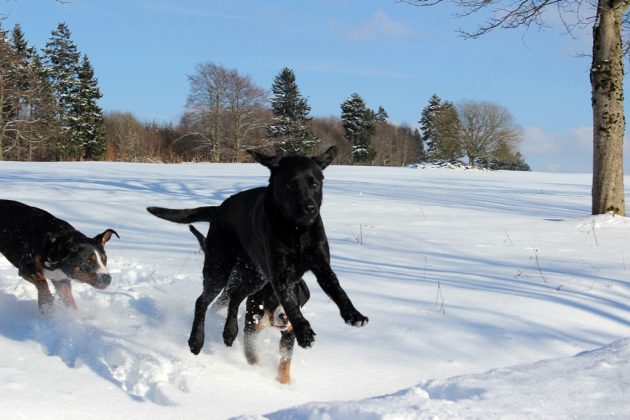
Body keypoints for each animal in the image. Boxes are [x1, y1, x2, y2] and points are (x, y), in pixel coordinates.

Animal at [191, 225, 312, 382]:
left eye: (294, 301)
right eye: (273, 298)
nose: (284, 317)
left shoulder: (289, 332)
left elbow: (285, 360)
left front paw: (283, 381)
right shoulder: (251, 328)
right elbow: (251, 353)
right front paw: (256, 369)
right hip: (228, 289)